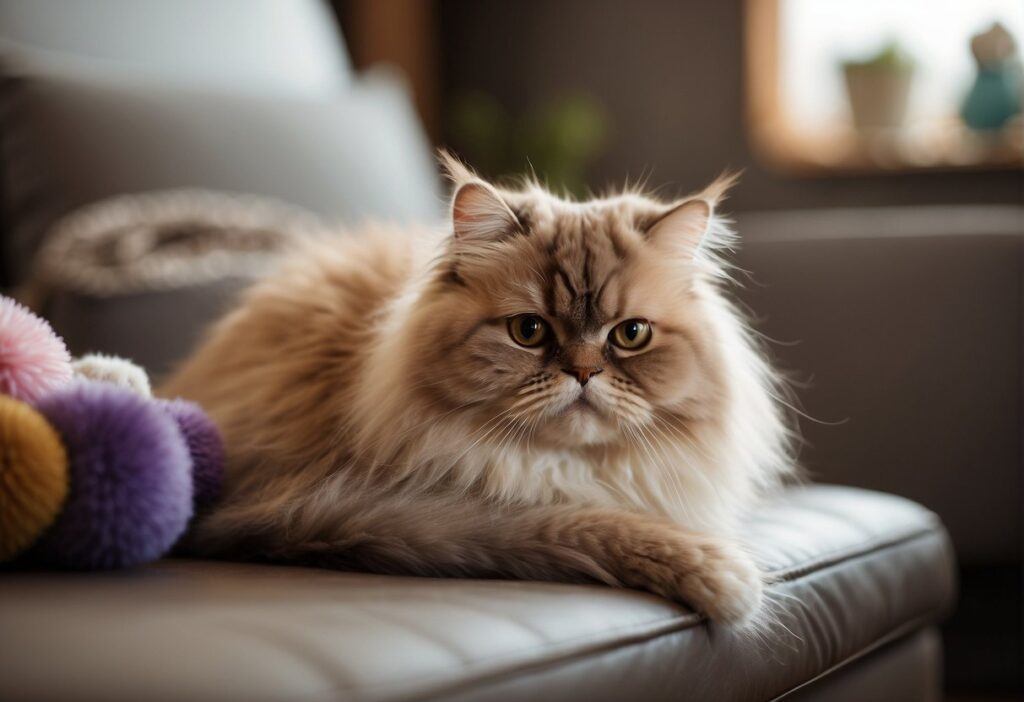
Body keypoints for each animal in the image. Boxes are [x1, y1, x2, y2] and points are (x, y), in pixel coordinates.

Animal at [163, 155, 794, 626]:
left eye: (631, 335)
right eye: (528, 331)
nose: (584, 373)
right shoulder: (404, 511)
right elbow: (591, 526)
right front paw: (728, 579)